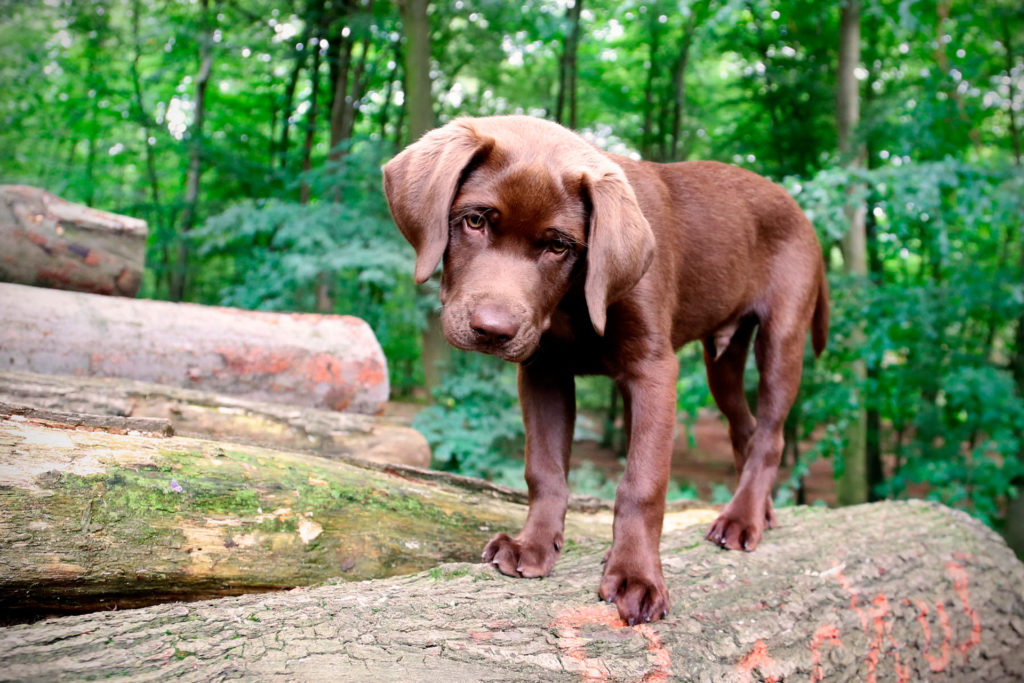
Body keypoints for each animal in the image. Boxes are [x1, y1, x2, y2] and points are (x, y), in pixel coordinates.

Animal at [382, 116, 823, 626]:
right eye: (474, 220)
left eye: (558, 245)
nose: (493, 330)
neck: (572, 300)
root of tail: (798, 209)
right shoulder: (545, 370)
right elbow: (545, 468)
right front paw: (533, 545)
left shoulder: (653, 370)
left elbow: (642, 482)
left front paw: (636, 576)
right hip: (724, 360)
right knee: (744, 428)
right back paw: (759, 510)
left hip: (782, 337)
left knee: (770, 433)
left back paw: (741, 518)